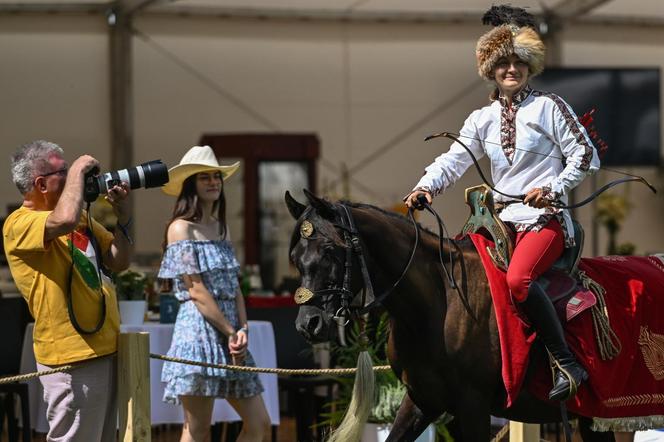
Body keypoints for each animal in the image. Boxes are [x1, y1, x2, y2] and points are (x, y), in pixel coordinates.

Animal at [282, 191, 616, 442]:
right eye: (295, 258)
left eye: (329, 250)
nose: (308, 324)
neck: (437, 303)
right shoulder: (422, 401)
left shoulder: (473, 408)